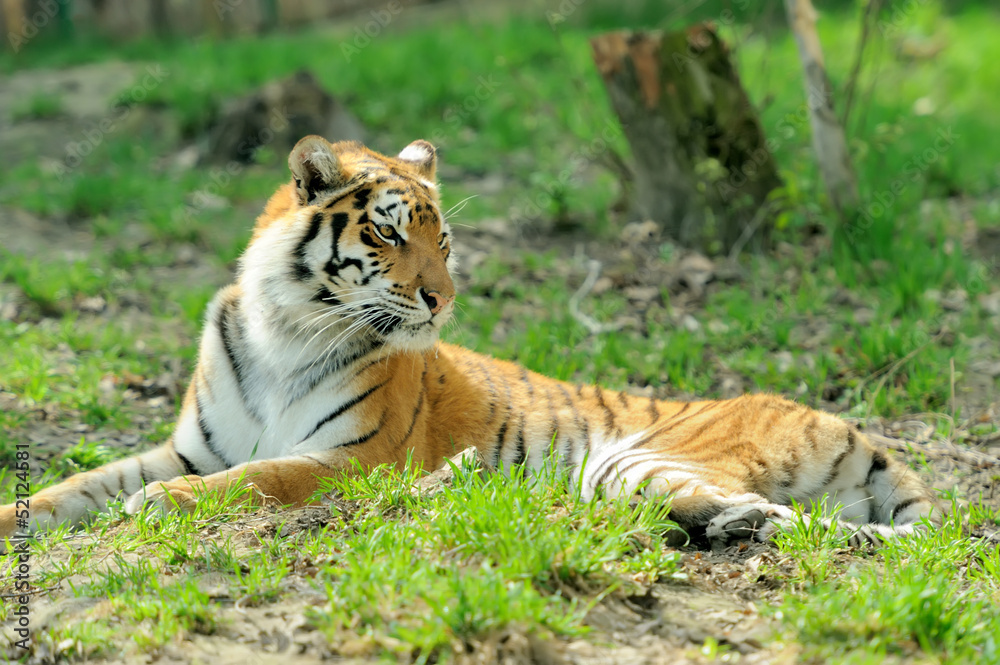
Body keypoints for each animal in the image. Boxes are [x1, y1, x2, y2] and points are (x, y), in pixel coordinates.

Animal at [0, 136, 938, 551]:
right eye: (388, 233)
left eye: (442, 239)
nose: (443, 299)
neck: (285, 328)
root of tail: (858, 431)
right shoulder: (190, 447)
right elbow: (77, 486)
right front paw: (23, 515)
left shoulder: (358, 457)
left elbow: (260, 477)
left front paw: (159, 507)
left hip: (632, 455)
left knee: (785, 517)